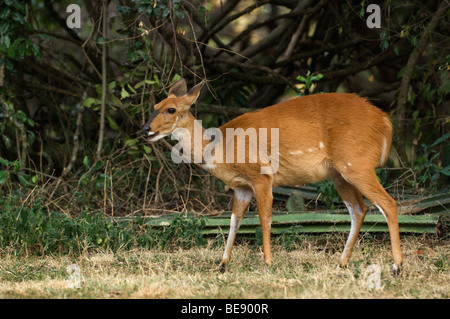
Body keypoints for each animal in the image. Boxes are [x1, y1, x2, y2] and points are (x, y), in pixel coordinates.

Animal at [144, 79, 404, 276]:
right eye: (155, 105)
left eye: (171, 109)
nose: (146, 129)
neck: (222, 150)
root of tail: (386, 122)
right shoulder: (242, 187)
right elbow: (234, 220)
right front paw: (222, 264)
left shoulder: (262, 177)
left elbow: (264, 219)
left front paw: (268, 265)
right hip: (339, 174)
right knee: (359, 209)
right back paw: (341, 264)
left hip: (356, 165)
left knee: (388, 203)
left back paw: (396, 267)